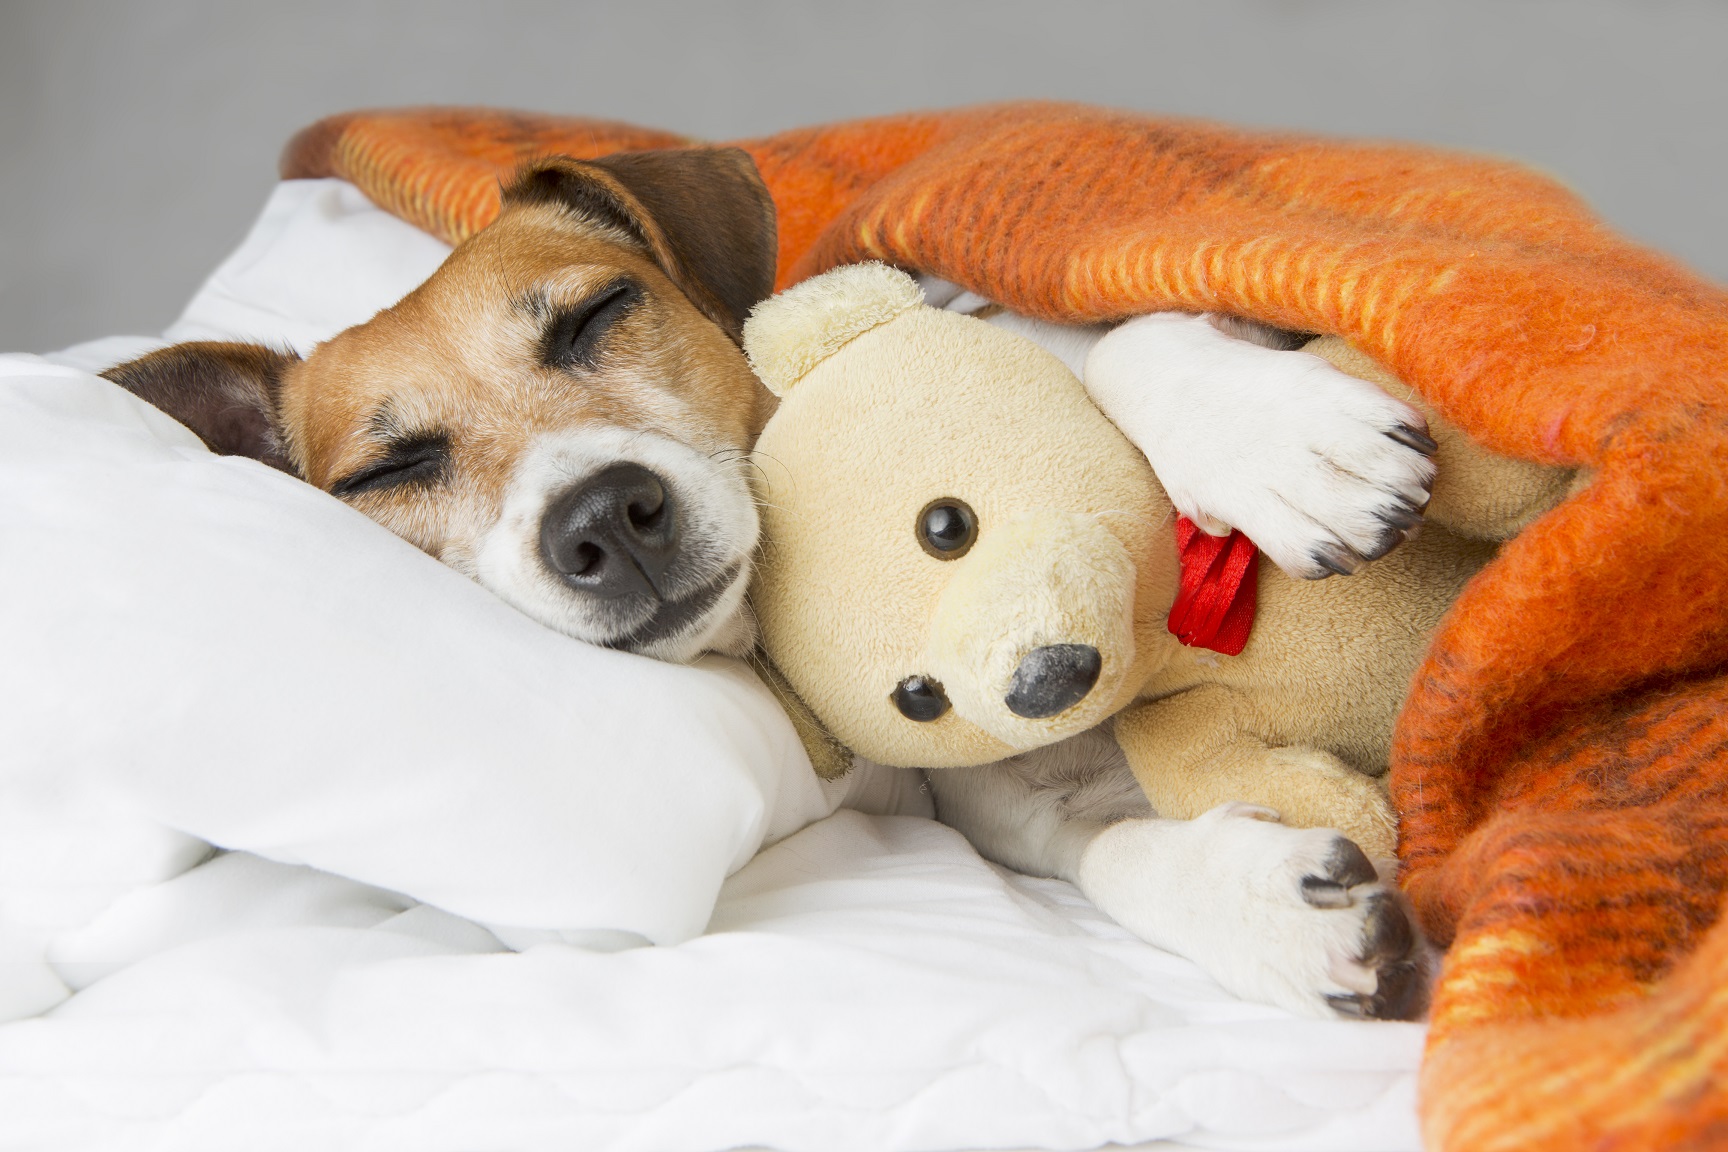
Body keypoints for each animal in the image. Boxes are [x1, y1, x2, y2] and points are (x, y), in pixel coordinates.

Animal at [104, 148, 1430, 1022]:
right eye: (392, 469)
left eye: (596, 314)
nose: (605, 516)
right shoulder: (1005, 801)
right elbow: (1107, 854)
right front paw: (1264, 912)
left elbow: (1101, 343)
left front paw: (1273, 437)